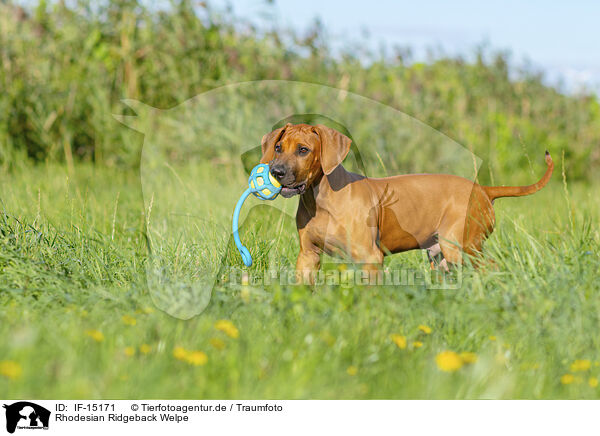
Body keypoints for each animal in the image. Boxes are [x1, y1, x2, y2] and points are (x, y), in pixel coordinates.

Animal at [258, 122, 552, 280]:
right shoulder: (308, 256)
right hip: (441, 256)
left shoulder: (370, 258)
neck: (321, 200)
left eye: (303, 150)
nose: (276, 172)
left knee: (491, 267)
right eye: (278, 148)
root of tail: (483, 190)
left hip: (462, 247)